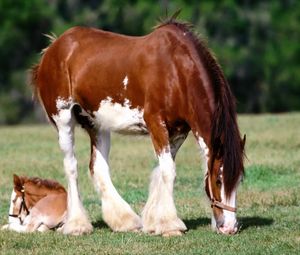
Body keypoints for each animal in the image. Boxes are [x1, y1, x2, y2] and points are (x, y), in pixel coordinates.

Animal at [30, 17, 245, 236]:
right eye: (218, 180)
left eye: (239, 180)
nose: (230, 227)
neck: (176, 70)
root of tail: (53, 48)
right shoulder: (156, 124)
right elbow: (168, 171)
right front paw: (170, 225)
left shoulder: (178, 132)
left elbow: (161, 170)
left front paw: (153, 221)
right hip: (63, 119)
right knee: (71, 166)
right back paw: (77, 225)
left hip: (97, 125)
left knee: (98, 167)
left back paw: (125, 221)